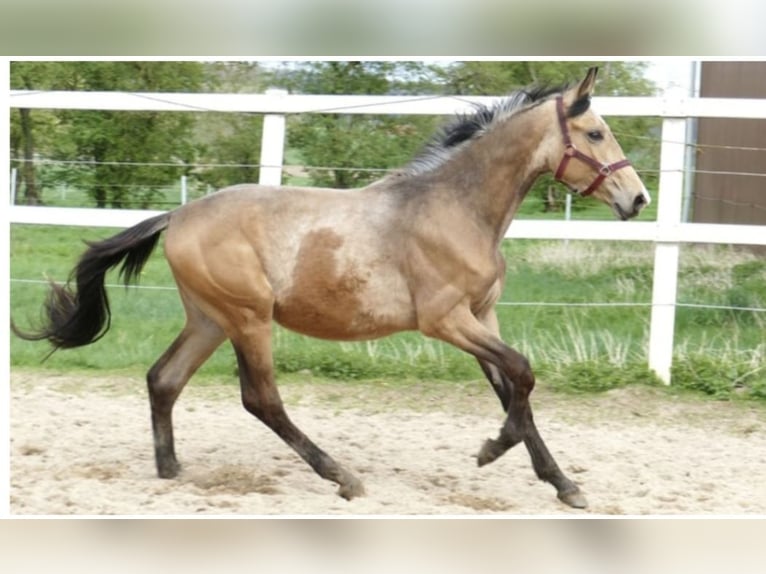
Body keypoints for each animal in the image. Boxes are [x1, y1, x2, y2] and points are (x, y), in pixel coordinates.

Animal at [12, 67, 652, 512]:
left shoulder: (483, 316)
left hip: (210, 319)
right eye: (596, 132)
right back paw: (341, 476)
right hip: (247, 318)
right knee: (261, 399)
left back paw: (171, 470)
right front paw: (491, 449)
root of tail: (177, 215)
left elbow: (513, 388)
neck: (455, 208)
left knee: (163, 379)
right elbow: (522, 373)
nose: (638, 199)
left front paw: (563, 484)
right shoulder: (446, 320)